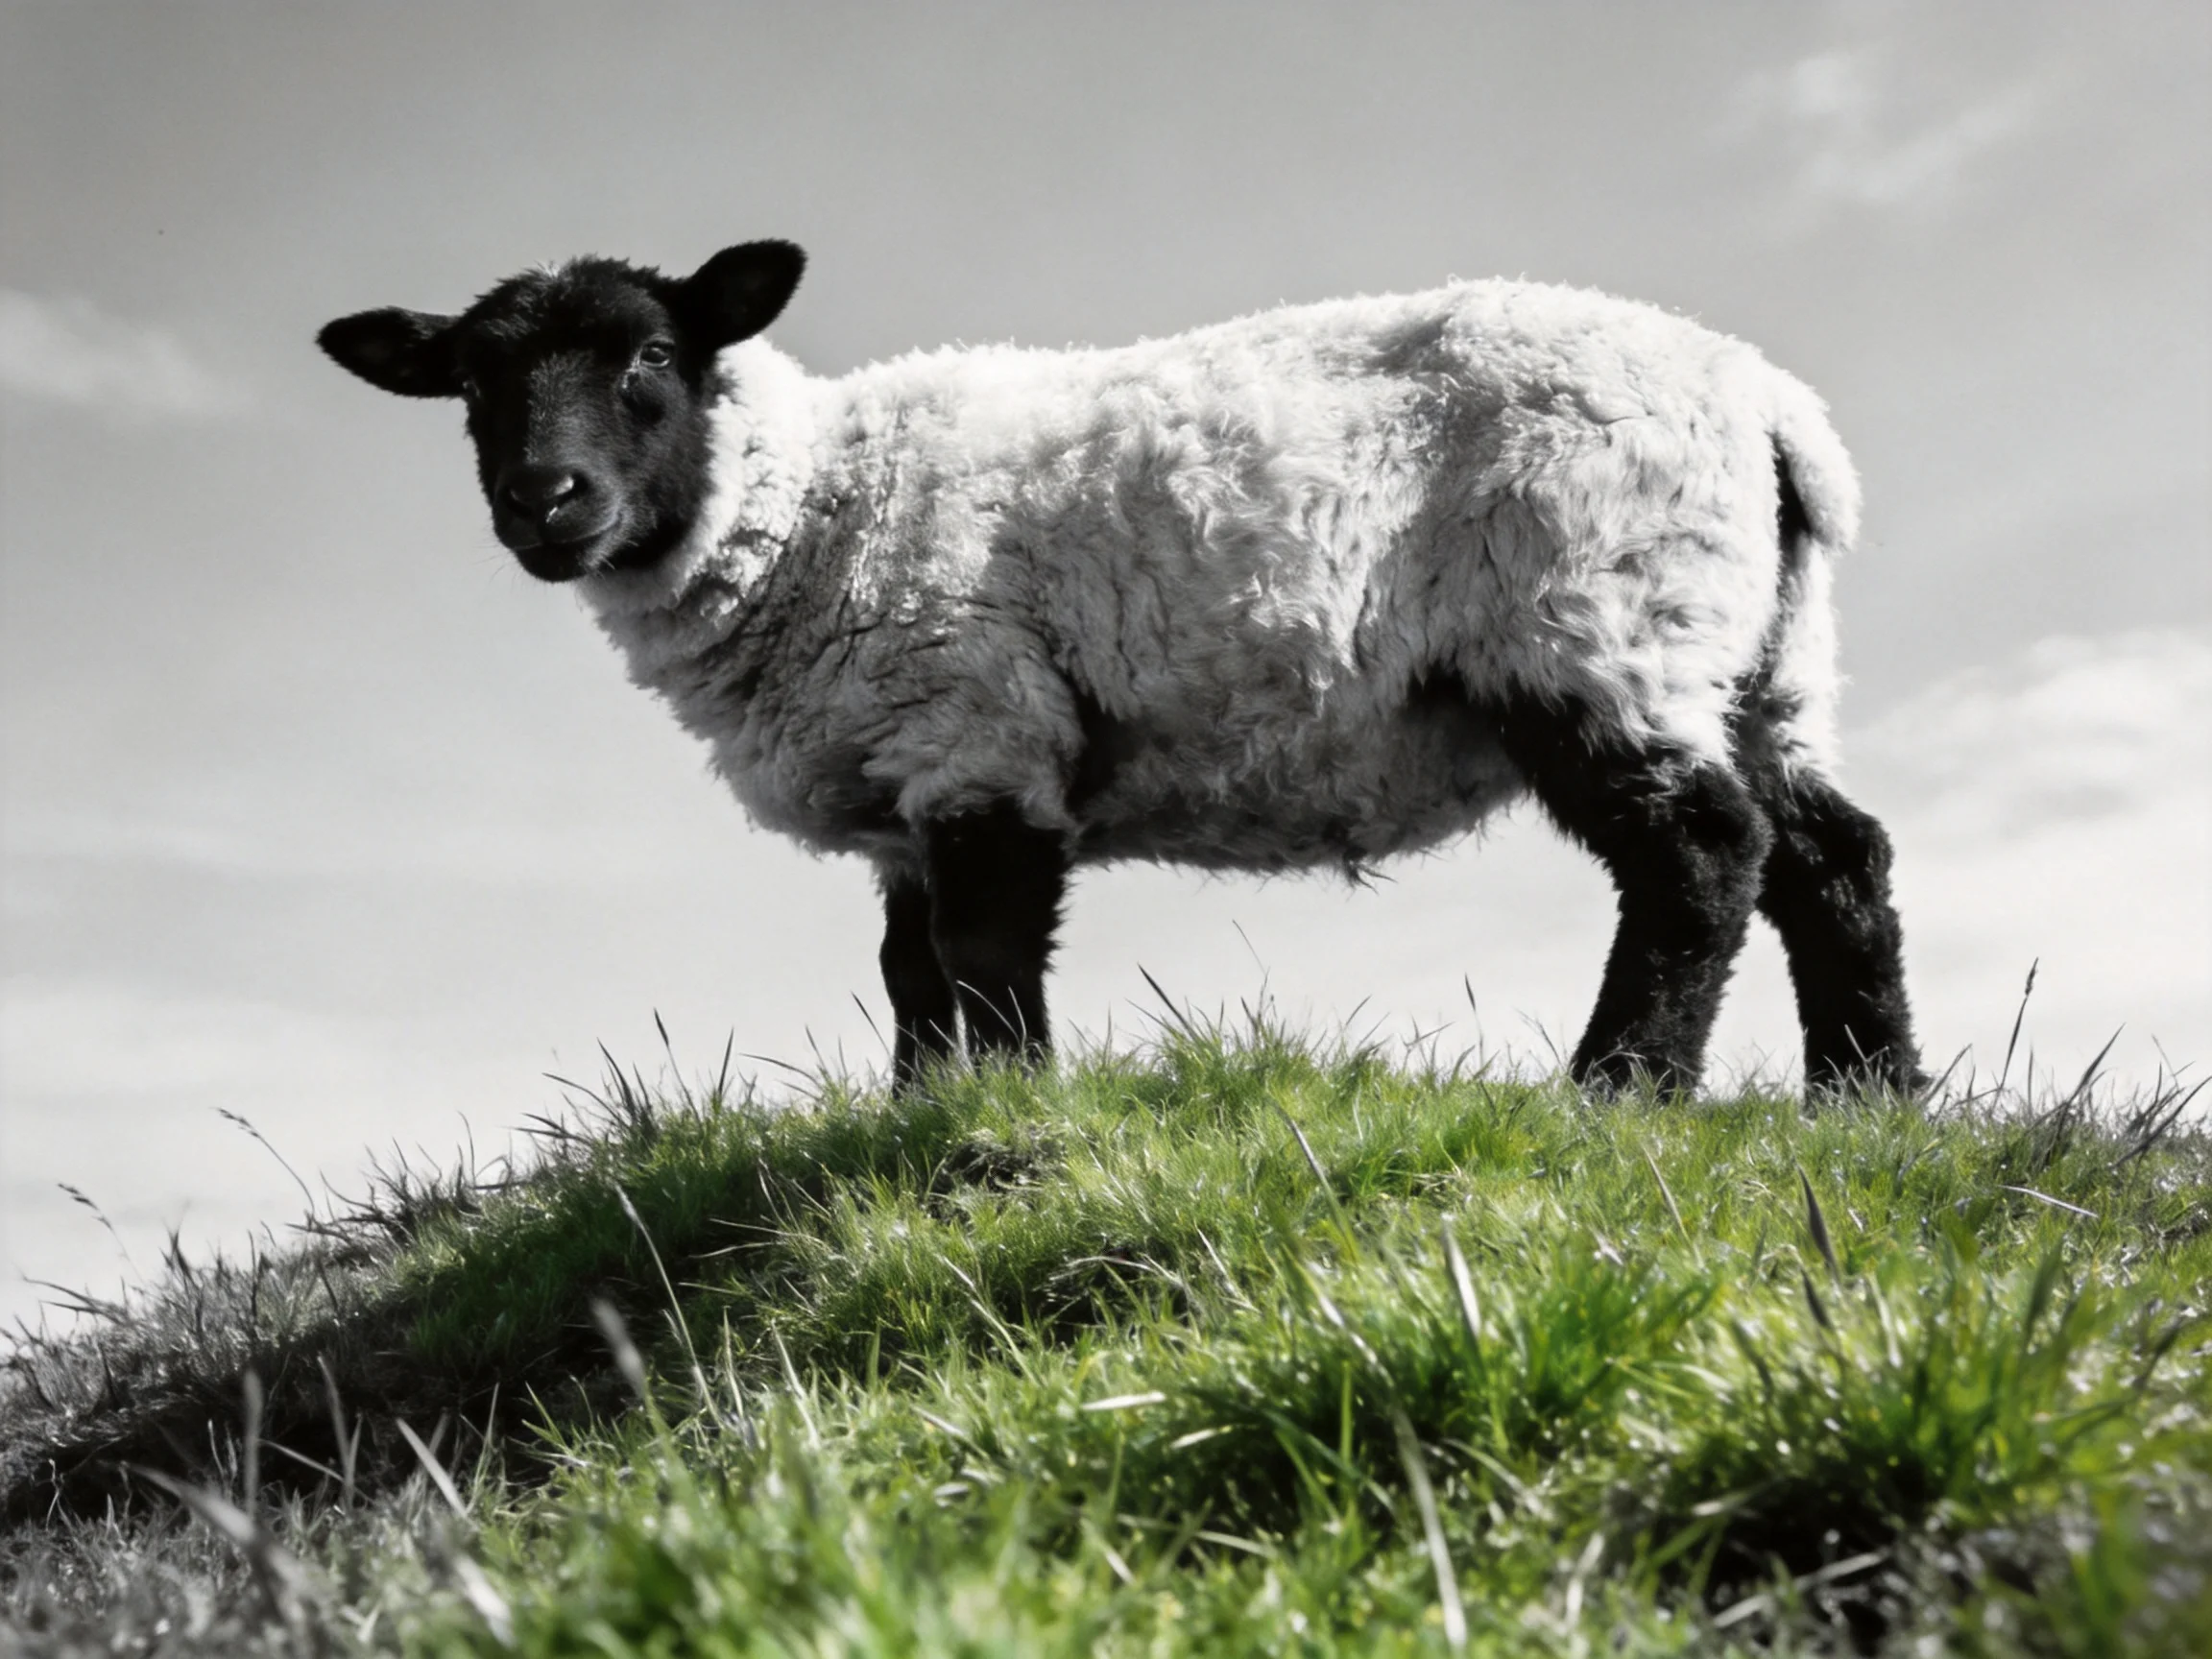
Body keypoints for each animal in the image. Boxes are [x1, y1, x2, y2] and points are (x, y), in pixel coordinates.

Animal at [318, 240, 1921, 1097]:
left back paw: (1617, 1092)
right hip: (1756, 652)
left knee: (1699, 853)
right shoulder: (905, 775)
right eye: (471, 387)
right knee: (1832, 858)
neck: (800, 506)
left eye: (648, 359)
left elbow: (979, 950)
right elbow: (909, 972)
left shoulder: (975, 722)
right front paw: (920, 1110)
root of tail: (1773, 412)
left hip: (1591, 613)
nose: (547, 501)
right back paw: (1872, 1102)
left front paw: (1009, 1109)